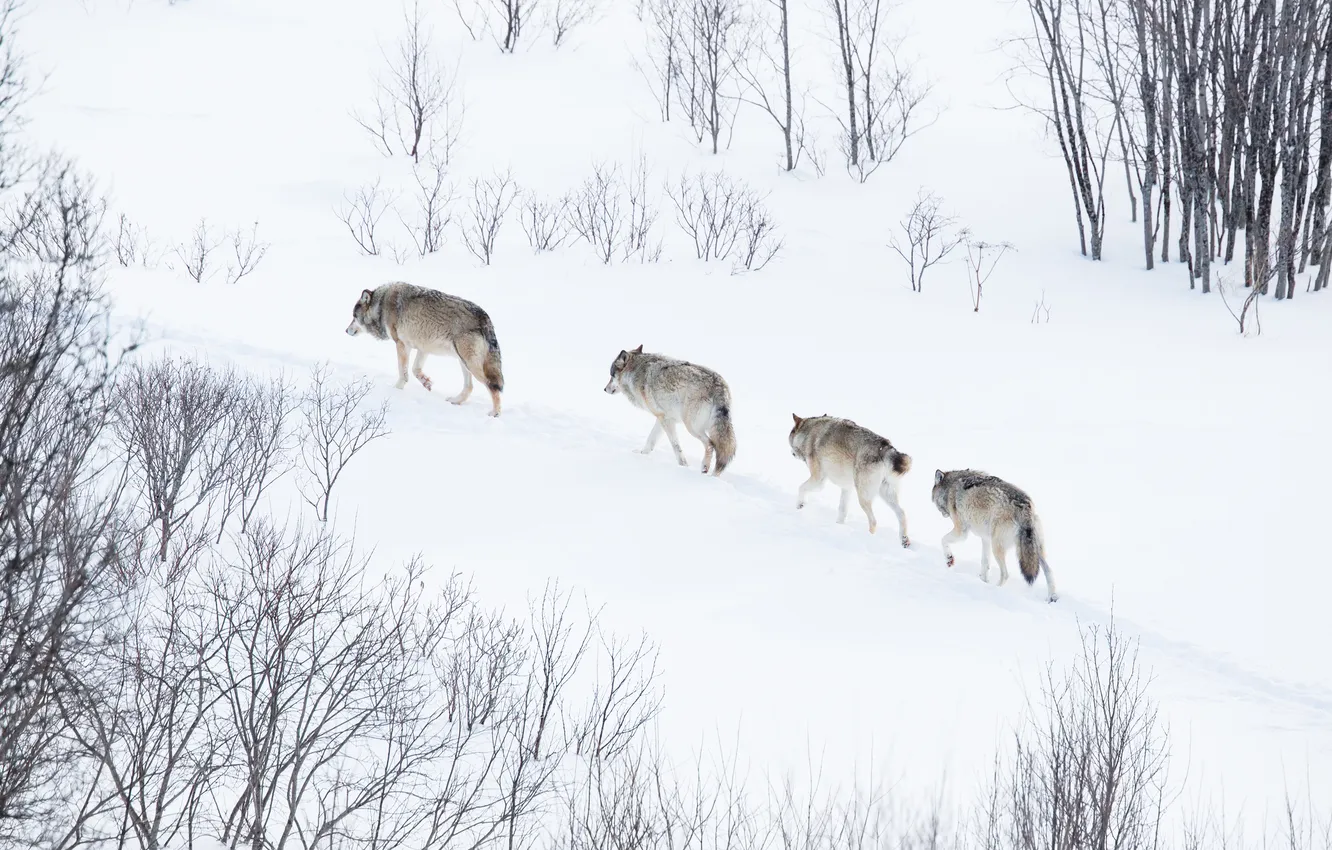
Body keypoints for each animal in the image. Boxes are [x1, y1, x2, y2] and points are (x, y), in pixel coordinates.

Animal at [345, 282, 505, 417]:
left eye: (354, 317)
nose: (346, 330)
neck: (381, 305)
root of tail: (485, 317)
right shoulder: (423, 348)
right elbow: (415, 370)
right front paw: (426, 383)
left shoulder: (402, 344)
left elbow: (403, 373)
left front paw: (396, 390)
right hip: (463, 362)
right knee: (469, 387)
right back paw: (455, 400)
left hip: (469, 363)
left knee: (492, 386)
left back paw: (495, 413)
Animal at [603, 345, 736, 476]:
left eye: (611, 375)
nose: (604, 389)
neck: (635, 372)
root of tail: (719, 385)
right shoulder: (663, 418)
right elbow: (650, 440)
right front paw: (641, 454)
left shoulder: (666, 421)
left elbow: (675, 446)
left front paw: (683, 465)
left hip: (692, 427)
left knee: (710, 444)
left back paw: (705, 469)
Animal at [788, 414, 912, 547]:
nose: (791, 453)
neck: (809, 433)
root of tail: (885, 447)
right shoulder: (846, 488)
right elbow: (842, 511)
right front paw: (838, 527)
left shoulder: (818, 480)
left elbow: (801, 487)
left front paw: (799, 505)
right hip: (885, 494)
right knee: (902, 514)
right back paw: (904, 540)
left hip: (863, 498)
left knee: (873, 521)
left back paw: (868, 539)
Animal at [930, 469, 1058, 602]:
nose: (943, 514)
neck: (950, 487)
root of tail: (1025, 507)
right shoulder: (985, 538)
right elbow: (985, 563)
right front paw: (982, 580)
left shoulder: (962, 531)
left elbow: (943, 540)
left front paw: (949, 559)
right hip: (1034, 551)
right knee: (1049, 571)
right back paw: (1051, 598)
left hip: (997, 547)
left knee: (1005, 574)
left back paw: (994, 590)